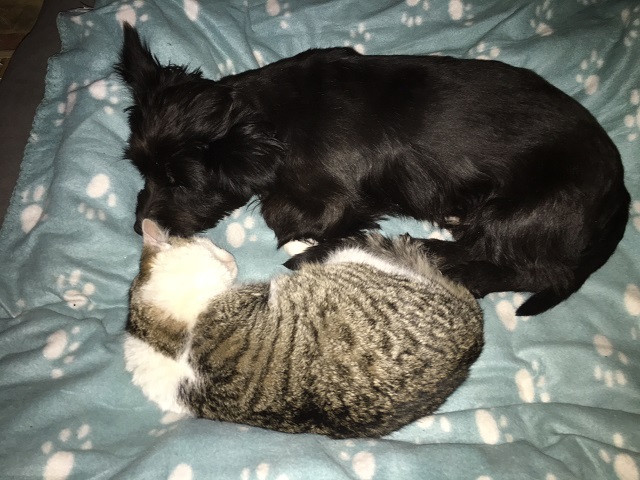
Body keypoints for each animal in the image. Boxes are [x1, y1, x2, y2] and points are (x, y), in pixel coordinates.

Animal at [116, 24, 630, 316]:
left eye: (181, 181)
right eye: (138, 167)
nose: (140, 227)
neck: (272, 119)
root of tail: (620, 184)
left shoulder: (337, 198)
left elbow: (286, 217)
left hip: (521, 211)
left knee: (535, 271)